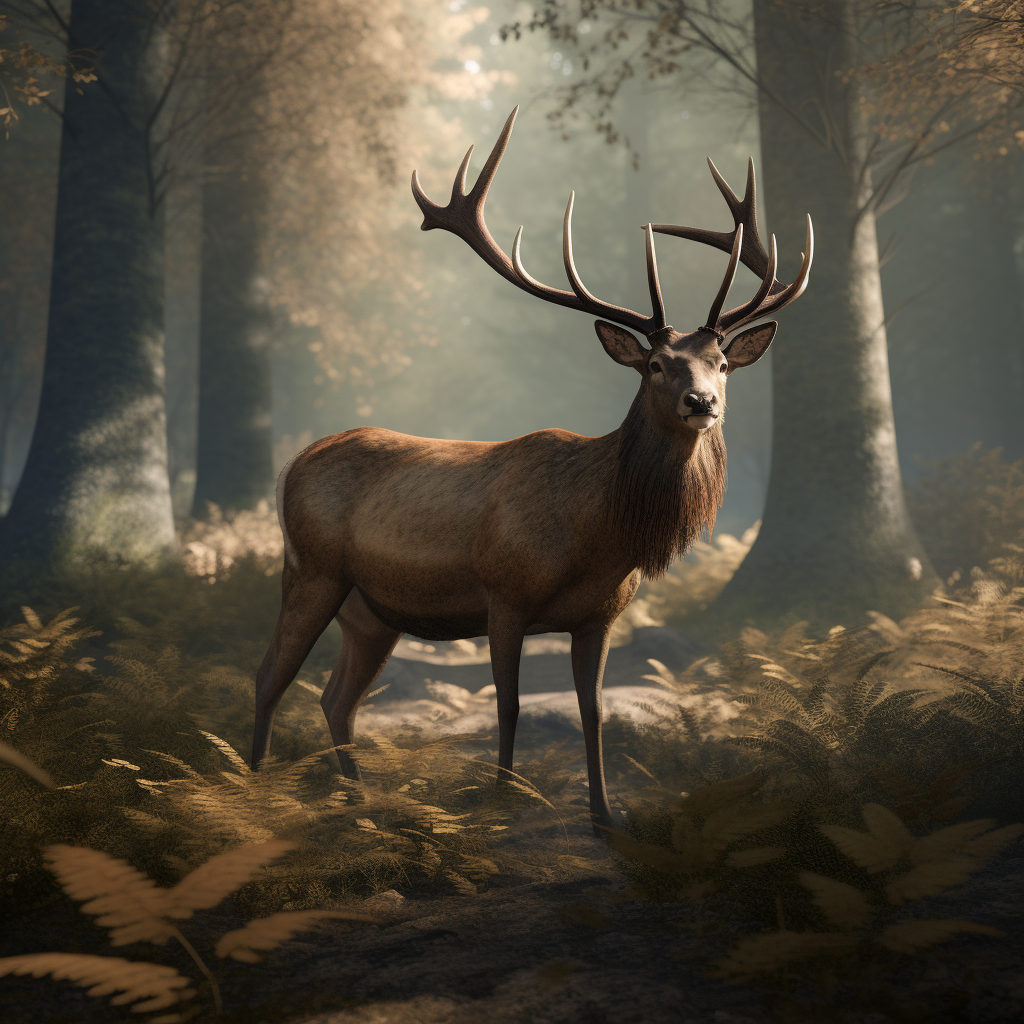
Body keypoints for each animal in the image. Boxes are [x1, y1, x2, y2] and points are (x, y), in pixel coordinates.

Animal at [250, 106, 812, 831]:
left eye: (720, 363)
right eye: (657, 365)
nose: (703, 403)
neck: (598, 535)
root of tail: (294, 464)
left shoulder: (601, 615)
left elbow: (593, 711)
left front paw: (603, 815)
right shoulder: (504, 594)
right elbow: (509, 705)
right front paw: (501, 801)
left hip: (369, 612)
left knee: (334, 699)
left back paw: (361, 805)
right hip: (312, 568)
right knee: (270, 677)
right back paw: (253, 795)